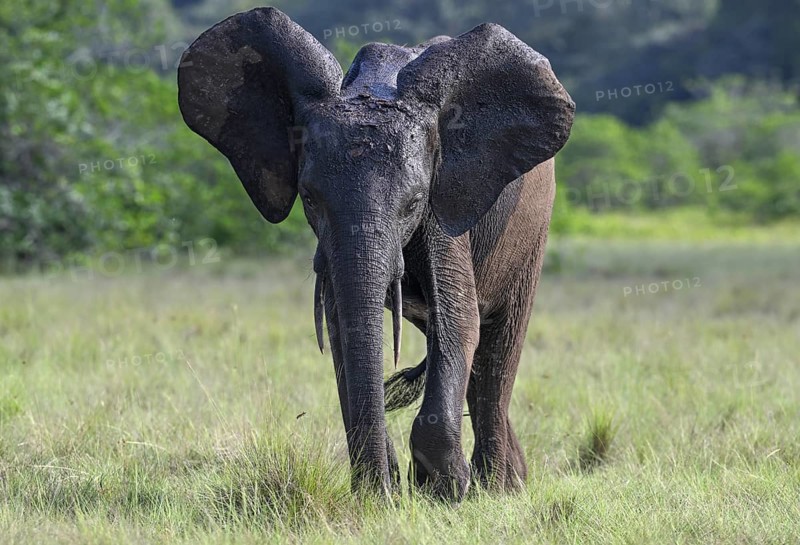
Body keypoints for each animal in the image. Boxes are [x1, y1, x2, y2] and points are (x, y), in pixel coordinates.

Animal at [178, 7, 574, 501]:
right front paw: (381, 491)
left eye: (414, 202)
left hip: (531, 231)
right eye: (309, 198)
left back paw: (498, 488)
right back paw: (510, 480)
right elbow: (341, 325)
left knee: (498, 350)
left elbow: (458, 320)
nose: (386, 486)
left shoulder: (445, 201)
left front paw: (444, 491)